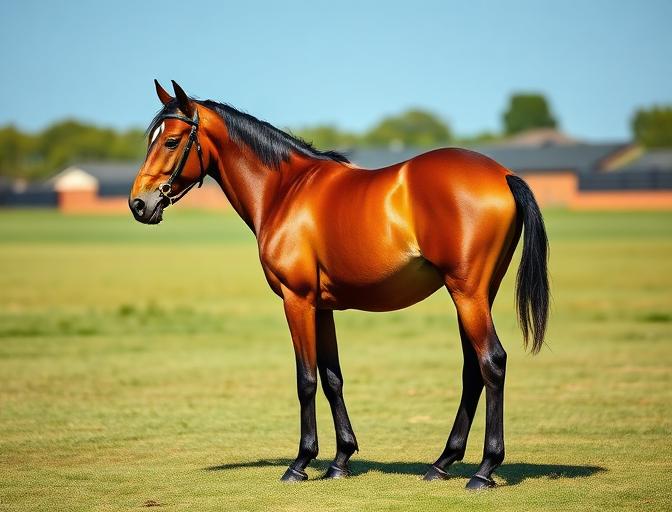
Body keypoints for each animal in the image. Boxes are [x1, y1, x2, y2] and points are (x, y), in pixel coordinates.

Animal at [129, 80, 549, 489]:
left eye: (171, 141)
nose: (138, 204)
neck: (285, 189)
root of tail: (503, 175)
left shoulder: (296, 300)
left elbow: (306, 379)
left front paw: (300, 463)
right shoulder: (323, 306)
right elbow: (333, 379)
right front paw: (340, 460)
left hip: (467, 294)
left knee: (492, 361)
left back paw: (484, 469)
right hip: (476, 295)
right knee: (472, 370)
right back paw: (442, 462)